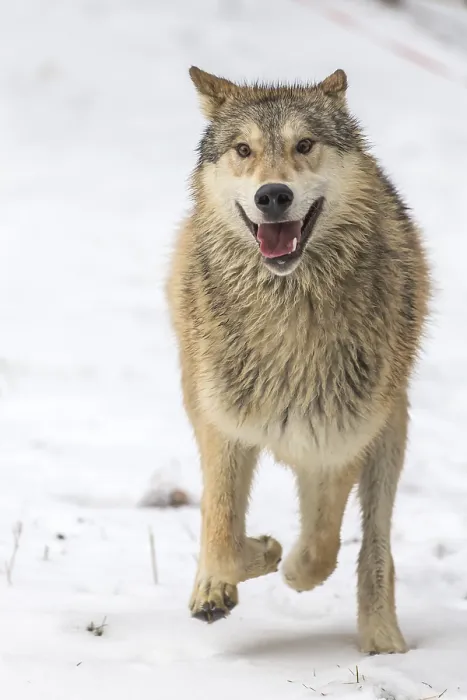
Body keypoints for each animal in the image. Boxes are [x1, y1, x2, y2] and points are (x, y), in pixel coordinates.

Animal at [166, 66, 430, 654]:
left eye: (304, 145)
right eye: (243, 150)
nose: (273, 195)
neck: (289, 317)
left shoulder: (335, 440)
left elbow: (319, 553)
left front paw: (283, 565)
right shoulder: (225, 425)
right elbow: (221, 530)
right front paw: (233, 574)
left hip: (389, 432)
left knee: (374, 544)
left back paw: (382, 635)